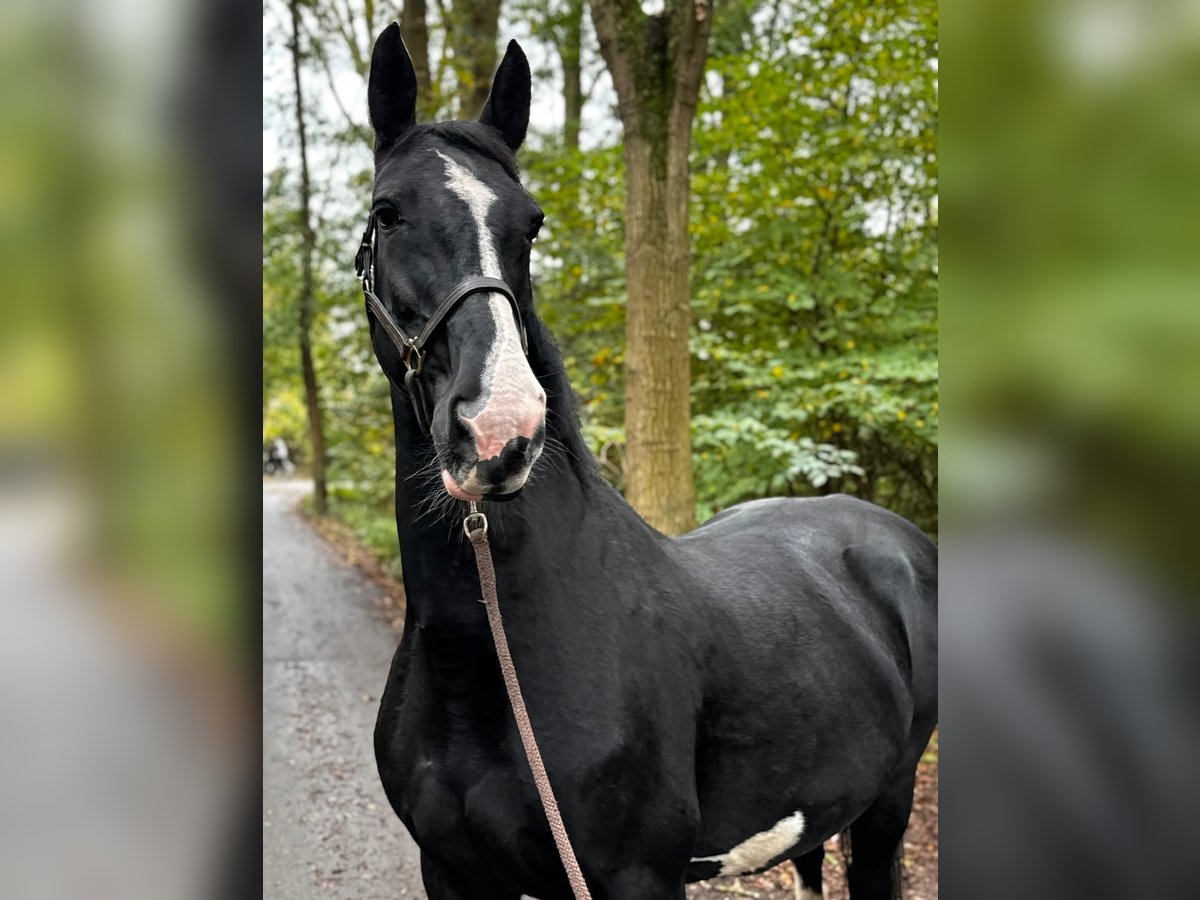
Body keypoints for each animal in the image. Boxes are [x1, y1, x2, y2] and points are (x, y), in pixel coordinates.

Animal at [367, 26, 936, 900]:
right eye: (386, 213)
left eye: (531, 225)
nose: (499, 429)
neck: (489, 653)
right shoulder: (451, 871)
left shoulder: (637, 876)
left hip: (887, 809)